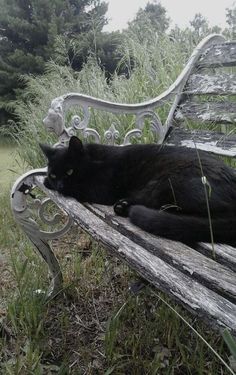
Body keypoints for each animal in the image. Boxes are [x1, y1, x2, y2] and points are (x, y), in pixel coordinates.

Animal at [39, 137, 236, 245]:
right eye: (54, 174)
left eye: (70, 172)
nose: (60, 186)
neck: (95, 160)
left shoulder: (101, 189)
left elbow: (80, 187)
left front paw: (46, 182)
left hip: (169, 183)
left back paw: (124, 207)